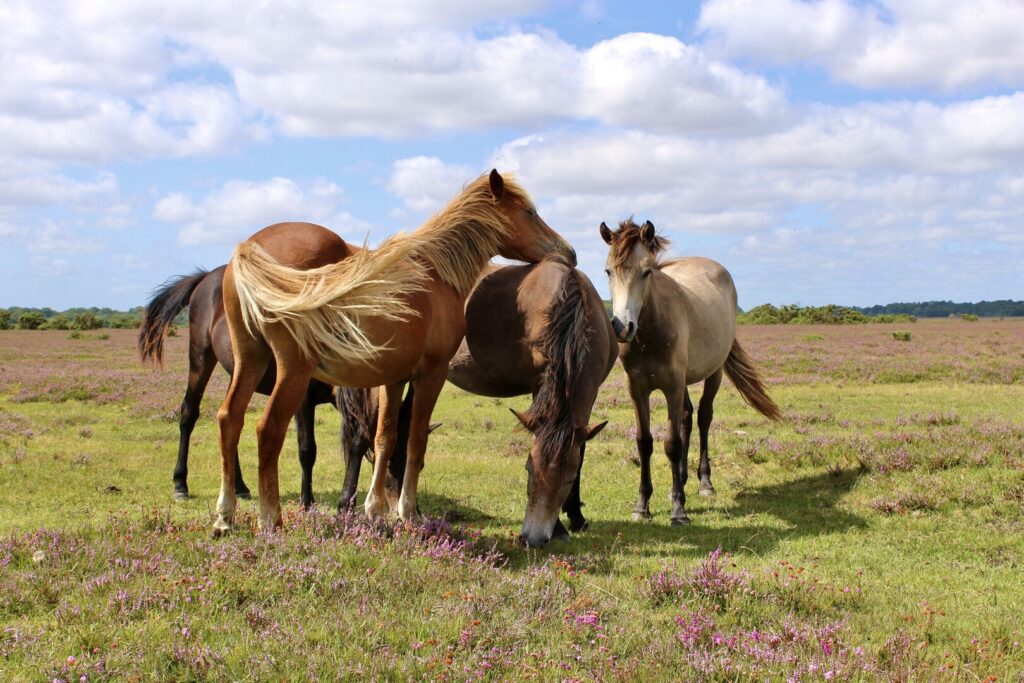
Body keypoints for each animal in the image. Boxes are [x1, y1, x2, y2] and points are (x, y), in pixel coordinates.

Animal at [138, 266, 335, 508]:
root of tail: (206, 276)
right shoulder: (304, 400)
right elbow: (307, 448)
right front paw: (307, 501)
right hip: (200, 357)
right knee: (189, 413)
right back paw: (180, 485)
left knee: (231, 421)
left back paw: (239, 487)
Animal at [213, 170, 575, 535]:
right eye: (529, 211)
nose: (569, 252)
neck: (434, 271)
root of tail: (248, 250)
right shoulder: (431, 374)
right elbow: (415, 440)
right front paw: (408, 511)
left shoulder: (394, 378)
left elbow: (384, 438)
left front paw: (375, 510)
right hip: (292, 372)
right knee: (268, 430)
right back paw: (270, 519)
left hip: (250, 360)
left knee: (230, 418)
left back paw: (224, 517)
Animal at [341, 257, 617, 547]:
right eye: (529, 469)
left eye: (568, 479)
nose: (533, 538)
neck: (568, 306)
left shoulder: (589, 396)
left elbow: (580, 453)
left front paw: (576, 517)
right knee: (364, 438)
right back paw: (350, 504)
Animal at [600, 218, 782, 525]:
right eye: (608, 271)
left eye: (647, 271)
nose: (622, 328)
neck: (651, 332)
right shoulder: (637, 389)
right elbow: (644, 443)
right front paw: (642, 506)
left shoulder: (672, 385)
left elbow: (671, 444)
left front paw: (679, 510)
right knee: (686, 417)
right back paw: (682, 480)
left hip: (713, 373)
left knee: (704, 417)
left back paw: (705, 483)